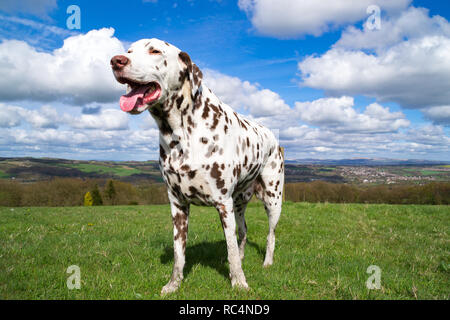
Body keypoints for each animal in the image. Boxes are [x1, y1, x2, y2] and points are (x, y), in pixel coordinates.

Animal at [110, 39, 284, 296]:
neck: (180, 133)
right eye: (129, 51)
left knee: (270, 235)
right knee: (243, 232)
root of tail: (273, 137)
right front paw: (173, 284)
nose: (116, 60)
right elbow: (179, 254)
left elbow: (230, 250)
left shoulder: (223, 204)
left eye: (155, 50)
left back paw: (268, 262)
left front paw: (239, 282)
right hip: (239, 203)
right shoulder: (178, 206)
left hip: (272, 200)